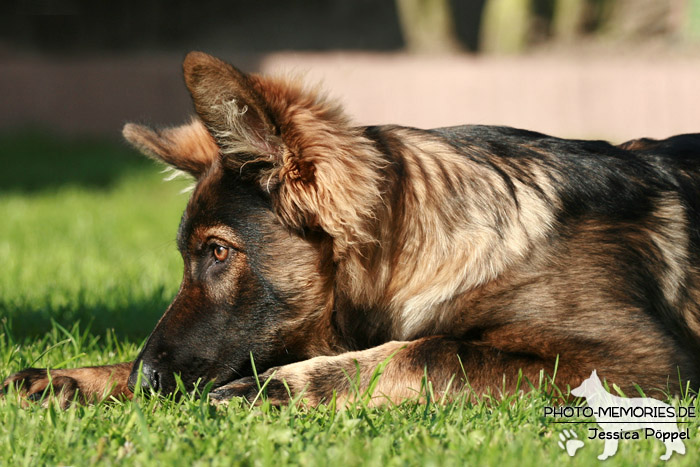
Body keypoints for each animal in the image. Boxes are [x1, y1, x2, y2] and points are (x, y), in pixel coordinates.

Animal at [4, 52, 700, 410]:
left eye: (217, 251)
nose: (146, 379)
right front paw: (82, 377)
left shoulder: (635, 363)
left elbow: (433, 350)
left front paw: (281, 386)